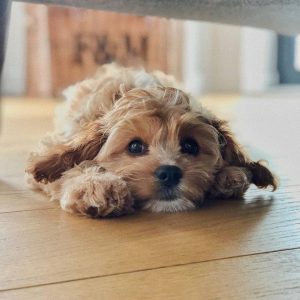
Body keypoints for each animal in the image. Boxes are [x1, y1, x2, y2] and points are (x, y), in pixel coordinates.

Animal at [25, 63, 276, 218]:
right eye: (135, 146)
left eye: (190, 146)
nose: (170, 173)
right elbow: (67, 167)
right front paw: (96, 186)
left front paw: (231, 174)